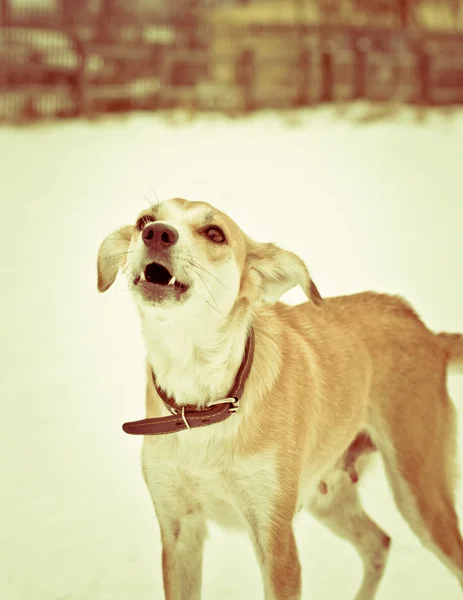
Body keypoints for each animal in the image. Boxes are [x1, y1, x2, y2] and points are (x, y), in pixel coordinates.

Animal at [97, 198, 463, 600]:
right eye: (144, 220)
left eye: (214, 233)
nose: (157, 233)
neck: (203, 404)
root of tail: (427, 331)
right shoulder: (178, 532)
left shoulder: (275, 540)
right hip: (329, 495)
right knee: (378, 543)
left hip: (420, 491)